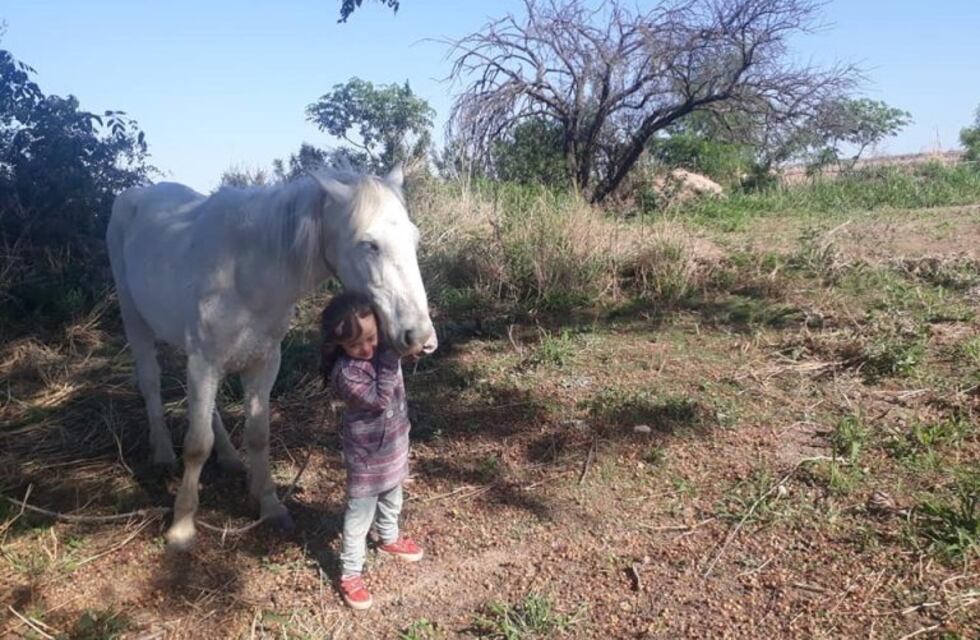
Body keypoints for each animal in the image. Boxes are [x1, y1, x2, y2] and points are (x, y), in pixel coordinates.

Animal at [106, 165, 436, 549]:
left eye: (414, 239)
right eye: (370, 245)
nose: (420, 338)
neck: (245, 269)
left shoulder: (263, 362)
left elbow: (258, 434)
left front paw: (269, 505)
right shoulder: (205, 360)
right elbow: (196, 444)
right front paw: (182, 527)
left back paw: (230, 458)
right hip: (136, 322)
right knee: (151, 382)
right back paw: (161, 454)